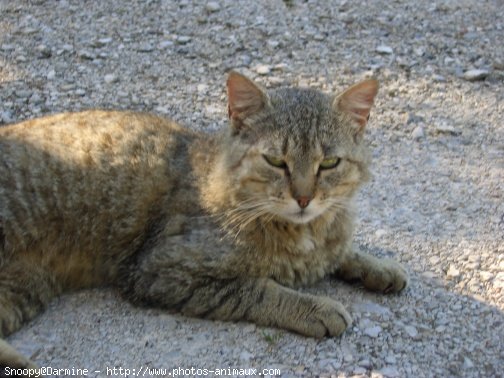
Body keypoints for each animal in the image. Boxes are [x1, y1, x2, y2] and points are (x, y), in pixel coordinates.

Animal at [0, 71, 408, 372]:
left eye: (329, 163)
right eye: (277, 161)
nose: (304, 198)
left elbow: (343, 251)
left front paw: (379, 266)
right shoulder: (160, 270)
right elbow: (258, 289)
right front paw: (315, 308)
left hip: (24, 286)